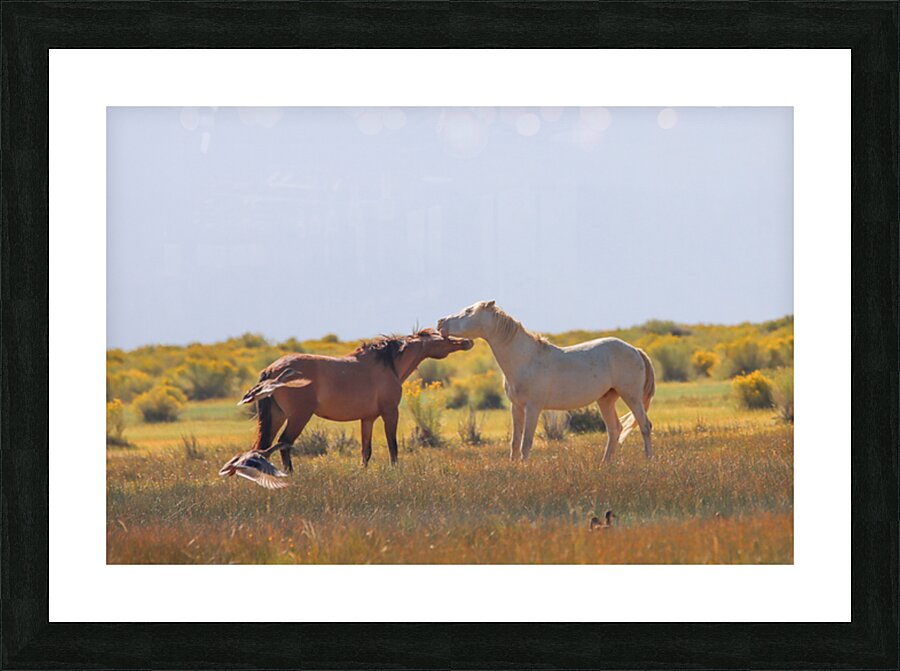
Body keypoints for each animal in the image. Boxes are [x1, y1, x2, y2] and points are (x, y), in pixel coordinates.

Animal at [237, 329, 473, 470]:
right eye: (445, 337)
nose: (467, 341)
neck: (388, 365)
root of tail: (271, 370)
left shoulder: (367, 418)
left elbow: (366, 451)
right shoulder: (390, 413)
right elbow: (393, 446)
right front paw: (394, 470)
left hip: (277, 416)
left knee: (264, 446)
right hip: (298, 416)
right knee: (283, 444)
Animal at [437, 301, 655, 462]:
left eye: (468, 311)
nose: (440, 323)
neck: (525, 359)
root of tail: (636, 350)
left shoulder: (533, 407)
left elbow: (526, 442)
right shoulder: (516, 407)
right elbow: (515, 442)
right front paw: (513, 467)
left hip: (631, 396)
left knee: (644, 426)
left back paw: (648, 461)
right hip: (606, 399)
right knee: (614, 430)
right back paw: (605, 464)